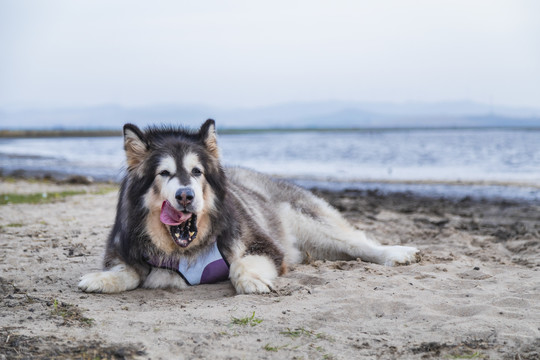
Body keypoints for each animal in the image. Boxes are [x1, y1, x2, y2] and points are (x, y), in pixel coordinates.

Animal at [78, 119, 420, 294]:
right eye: (164, 173)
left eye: (197, 172)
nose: (186, 196)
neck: (184, 250)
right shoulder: (125, 247)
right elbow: (130, 271)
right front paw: (102, 279)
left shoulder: (264, 245)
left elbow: (240, 265)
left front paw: (252, 280)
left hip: (311, 222)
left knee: (358, 243)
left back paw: (397, 253)